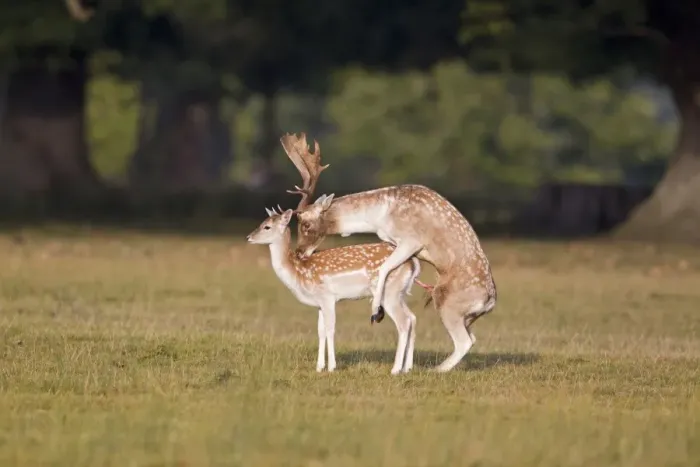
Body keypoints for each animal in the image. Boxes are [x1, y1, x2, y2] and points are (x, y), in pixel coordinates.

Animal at [246, 206, 423, 375]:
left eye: (267, 226)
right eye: (262, 222)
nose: (248, 237)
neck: (299, 273)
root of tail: (413, 262)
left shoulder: (328, 297)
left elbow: (330, 329)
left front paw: (332, 367)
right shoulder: (319, 304)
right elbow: (321, 331)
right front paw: (319, 367)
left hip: (389, 293)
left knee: (404, 322)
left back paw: (395, 369)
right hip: (399, 293)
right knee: (413, 317)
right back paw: (407, 368)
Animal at [279, 133, 497, 373]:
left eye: (305, 224)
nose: (299, 253)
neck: (379, 217)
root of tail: (489, 302)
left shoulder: (411, 240)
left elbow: (384, 268)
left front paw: (376, 311)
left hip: (448, 302)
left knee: (464, 341)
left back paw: (434, 369)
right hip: (465, 314)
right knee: (469, 337)